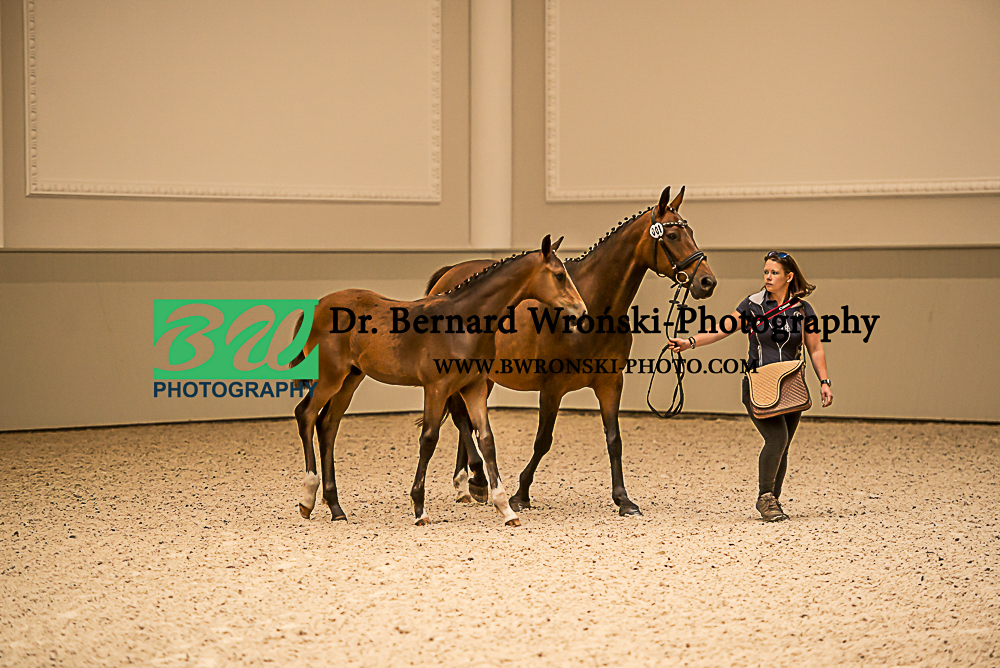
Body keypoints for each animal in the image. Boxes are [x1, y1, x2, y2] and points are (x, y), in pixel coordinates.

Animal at [292, 235, 586, 527]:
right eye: (560, 275)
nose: (581, 311)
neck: (463, 324)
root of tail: (315, 307)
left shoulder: (474, 386)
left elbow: (487, 440)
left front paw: (506, 509)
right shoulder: (436, 388)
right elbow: (429, 439)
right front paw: (420, 509)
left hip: (350, 379)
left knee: (328, 425)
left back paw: (335, 507)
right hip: (330, 377)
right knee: (305, 414)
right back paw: (307, 499)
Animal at [426, 186, 717, 516]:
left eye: (690, 232)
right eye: (672, 236)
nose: (707, 281)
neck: (589, 310)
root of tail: (449, 275)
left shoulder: (610, 383)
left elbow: (614, 440)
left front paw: (623, 500)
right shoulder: (552, 388)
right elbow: (543, 440)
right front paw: (521, 494)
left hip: (481, 378)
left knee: (466, 417)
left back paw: (467, 485)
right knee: (462, 419)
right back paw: (475, 480)